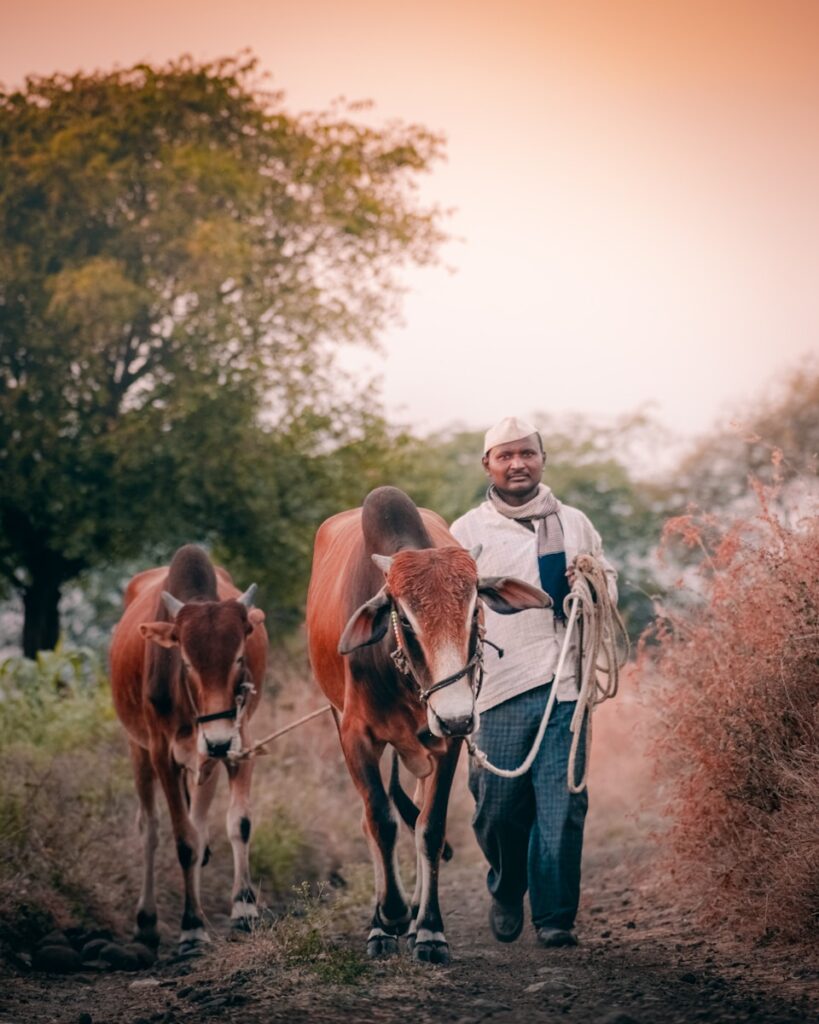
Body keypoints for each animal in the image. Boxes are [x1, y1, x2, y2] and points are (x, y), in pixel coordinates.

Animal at [108, 544, 266, 950]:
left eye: (239, 657)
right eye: (187, 662)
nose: (218, 739)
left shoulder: (241, 744)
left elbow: (238, 823)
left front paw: (244, 907)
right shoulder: (162, 754)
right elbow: (183, 842)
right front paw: (191, 925)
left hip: (205, 762)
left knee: (199, 823)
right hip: (139, 749)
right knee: (150, 827)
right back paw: (147, 921)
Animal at [303, 485, 548, 958]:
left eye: (475, 612)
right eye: (404, 619)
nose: (456, 716)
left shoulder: (446, 741)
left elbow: (429, 828)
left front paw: (429, 929)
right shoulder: (355, 735)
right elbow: (380, 821)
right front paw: (389, 917)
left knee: (415, 814)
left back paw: (416, 914)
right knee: (371, 818)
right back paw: (387, 922)